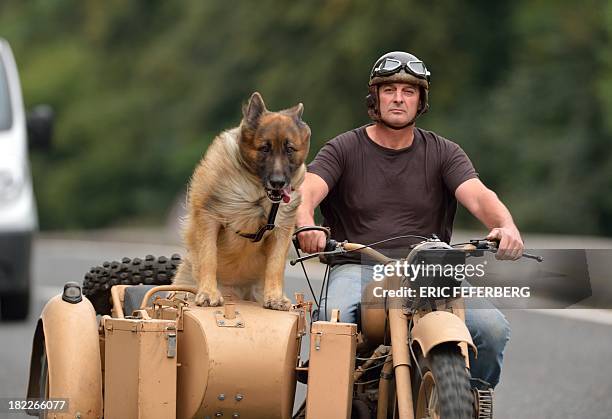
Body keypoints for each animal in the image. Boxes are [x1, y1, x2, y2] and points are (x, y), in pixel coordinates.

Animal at [172, 93, 310, 310]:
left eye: (289, 149)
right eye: (264, 148)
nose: (278, 182)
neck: (256, 195)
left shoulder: (281, 231)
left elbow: (275, 266)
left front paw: (275, 297)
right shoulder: (209, 218)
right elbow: (209, 257)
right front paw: (209, 293)